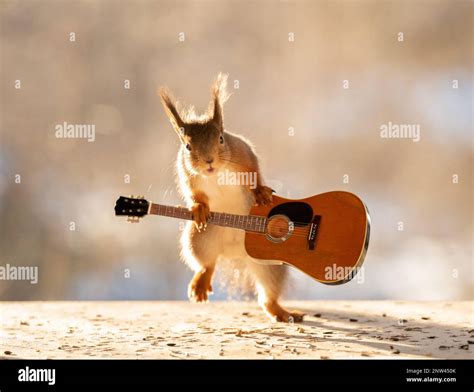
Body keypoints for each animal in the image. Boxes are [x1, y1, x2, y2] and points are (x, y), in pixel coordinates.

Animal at [159, 73, 304, 322]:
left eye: (221, 138)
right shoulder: (187, 174)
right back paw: (201, 281)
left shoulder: (244, 154)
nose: (208, 161)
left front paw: (260, 191)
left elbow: (255, 174)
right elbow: (193, 193)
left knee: (268, 295)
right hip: (199, 239)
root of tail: (235, 253)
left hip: (271, 263)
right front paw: (199, 207)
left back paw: (282, 312)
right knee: (207, 263)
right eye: (187, 146)